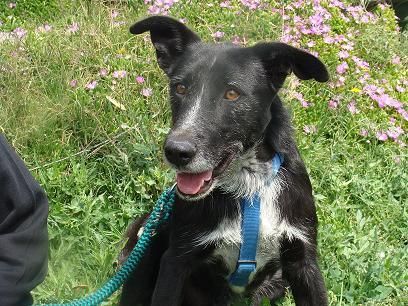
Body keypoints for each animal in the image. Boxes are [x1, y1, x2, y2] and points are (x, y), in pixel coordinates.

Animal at [119, 16, 330, 306]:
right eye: (180, 88)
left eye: (232, 94)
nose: (176, 152)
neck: (249, 184)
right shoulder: (175, 261)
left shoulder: (303, 260)